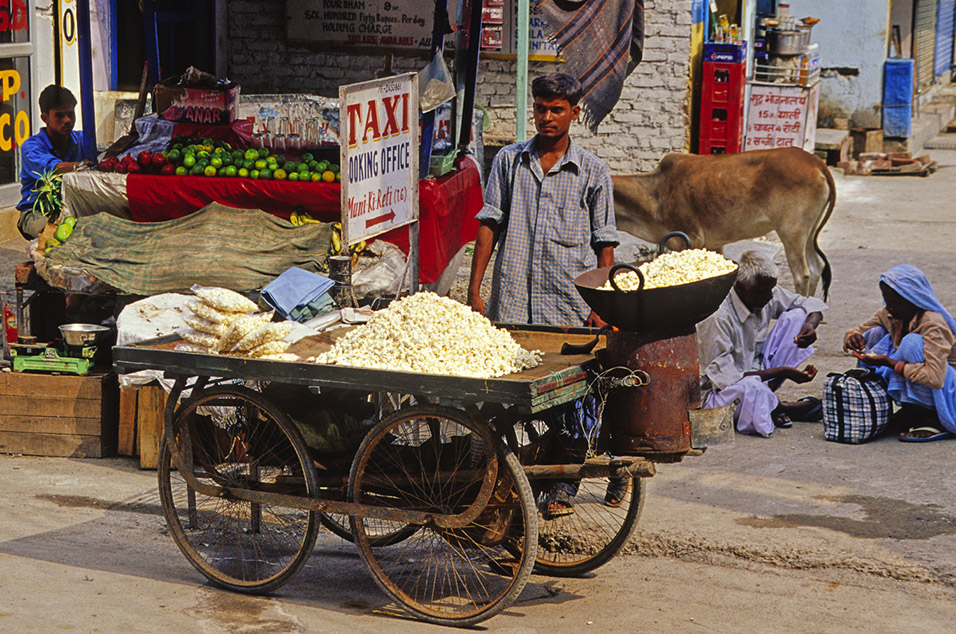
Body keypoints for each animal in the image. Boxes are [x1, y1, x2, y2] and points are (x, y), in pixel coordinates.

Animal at [616, 146, 832, 298]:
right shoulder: (714, 245)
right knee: (816, 269)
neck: (657, 192)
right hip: (808, 233)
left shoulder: (688, 240)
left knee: (803, 274)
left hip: (792, 231)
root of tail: (815, 161)